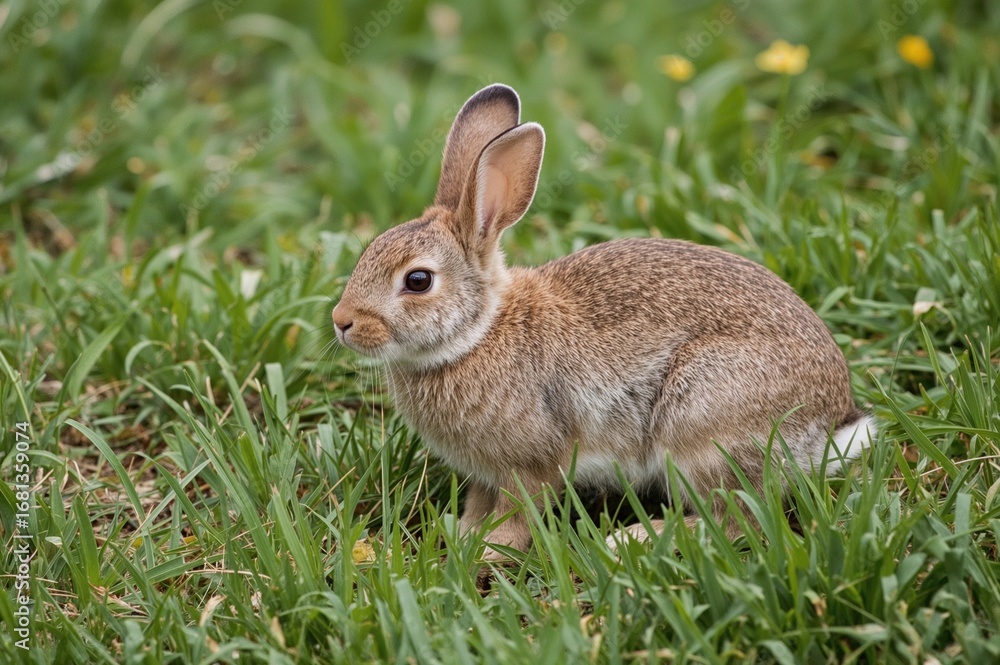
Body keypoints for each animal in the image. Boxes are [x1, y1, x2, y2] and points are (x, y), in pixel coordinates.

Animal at [332, 83, 875, 557]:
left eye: (418, 280)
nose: (341, 322)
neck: (477, 333)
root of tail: (828, 425)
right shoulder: (485, 474)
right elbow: (478, 504)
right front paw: (462, 535)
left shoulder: (532, 464)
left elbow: (518, 513)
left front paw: (486, 550)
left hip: (700, 421)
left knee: (733, 517)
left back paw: (628, 539)